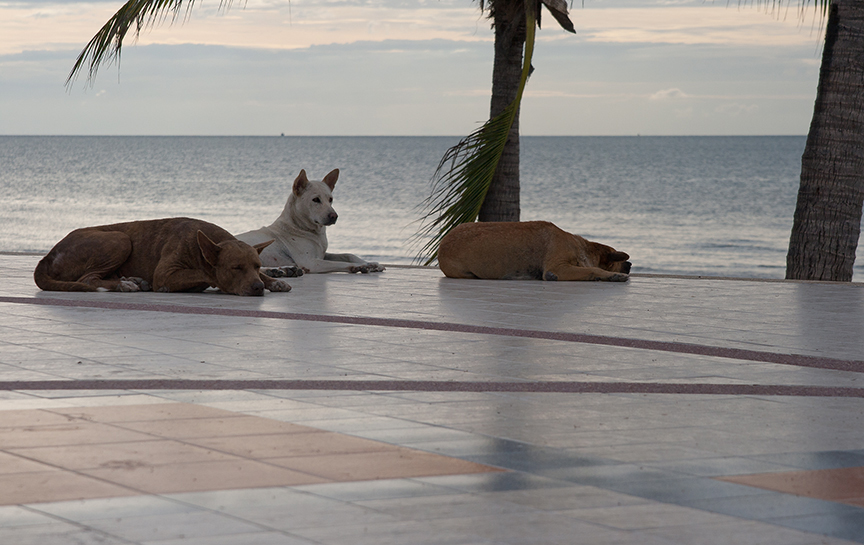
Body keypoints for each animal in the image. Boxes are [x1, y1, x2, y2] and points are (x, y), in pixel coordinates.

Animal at [34, 217, 293, 296]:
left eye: (257, 266)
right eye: (235, 268)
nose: (257, 288)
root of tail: (46, 257)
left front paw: (274, 280)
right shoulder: (165, 274)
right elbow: (203, 272)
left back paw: (132, 280)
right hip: (119, 238)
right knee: (87, 279)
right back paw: (125, 284)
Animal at [235, 169, 384, 275]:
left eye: (330, 199)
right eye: (316, 200)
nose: (334, 216)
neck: (300, 227)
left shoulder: (322, 254)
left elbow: (348, 255)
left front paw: (372, 264)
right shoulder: (312, 262)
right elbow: (340, 263)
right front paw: (360, 266)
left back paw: (283, 270)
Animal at [438, 221, 631, 282]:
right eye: (619, 262)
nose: (629, 264)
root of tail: (442, 244)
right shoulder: (557, 268)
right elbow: (594, 269)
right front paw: (614, 275)